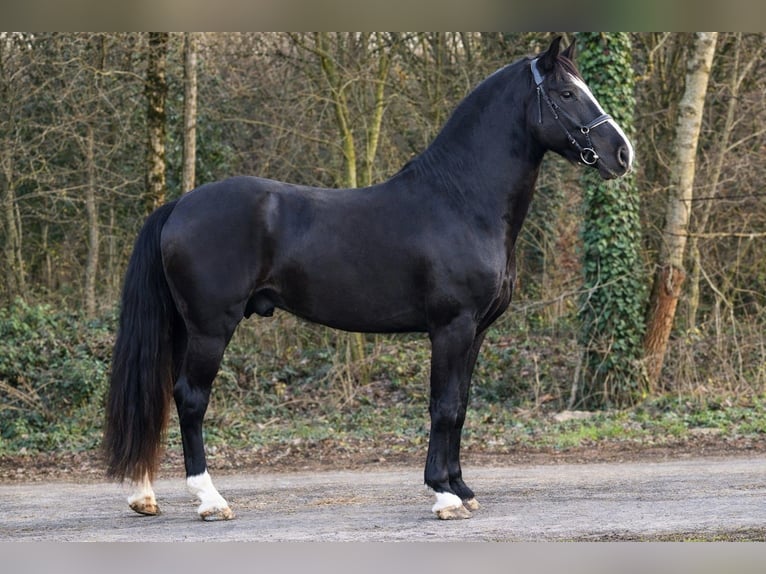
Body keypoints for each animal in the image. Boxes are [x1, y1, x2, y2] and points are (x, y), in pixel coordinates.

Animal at [103, 36, 633, 522]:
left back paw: (143, 495)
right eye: (566, 93)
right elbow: (443, 406)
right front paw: (443, 495)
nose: (622, 154)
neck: (461, 201)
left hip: (183, 327)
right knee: (190, 399)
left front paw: (462, 489)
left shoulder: (476, 332)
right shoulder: (451, 327)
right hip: (211, 328)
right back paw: (210, 499)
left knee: (159, 395)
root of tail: (179, 205)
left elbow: (460, 407)